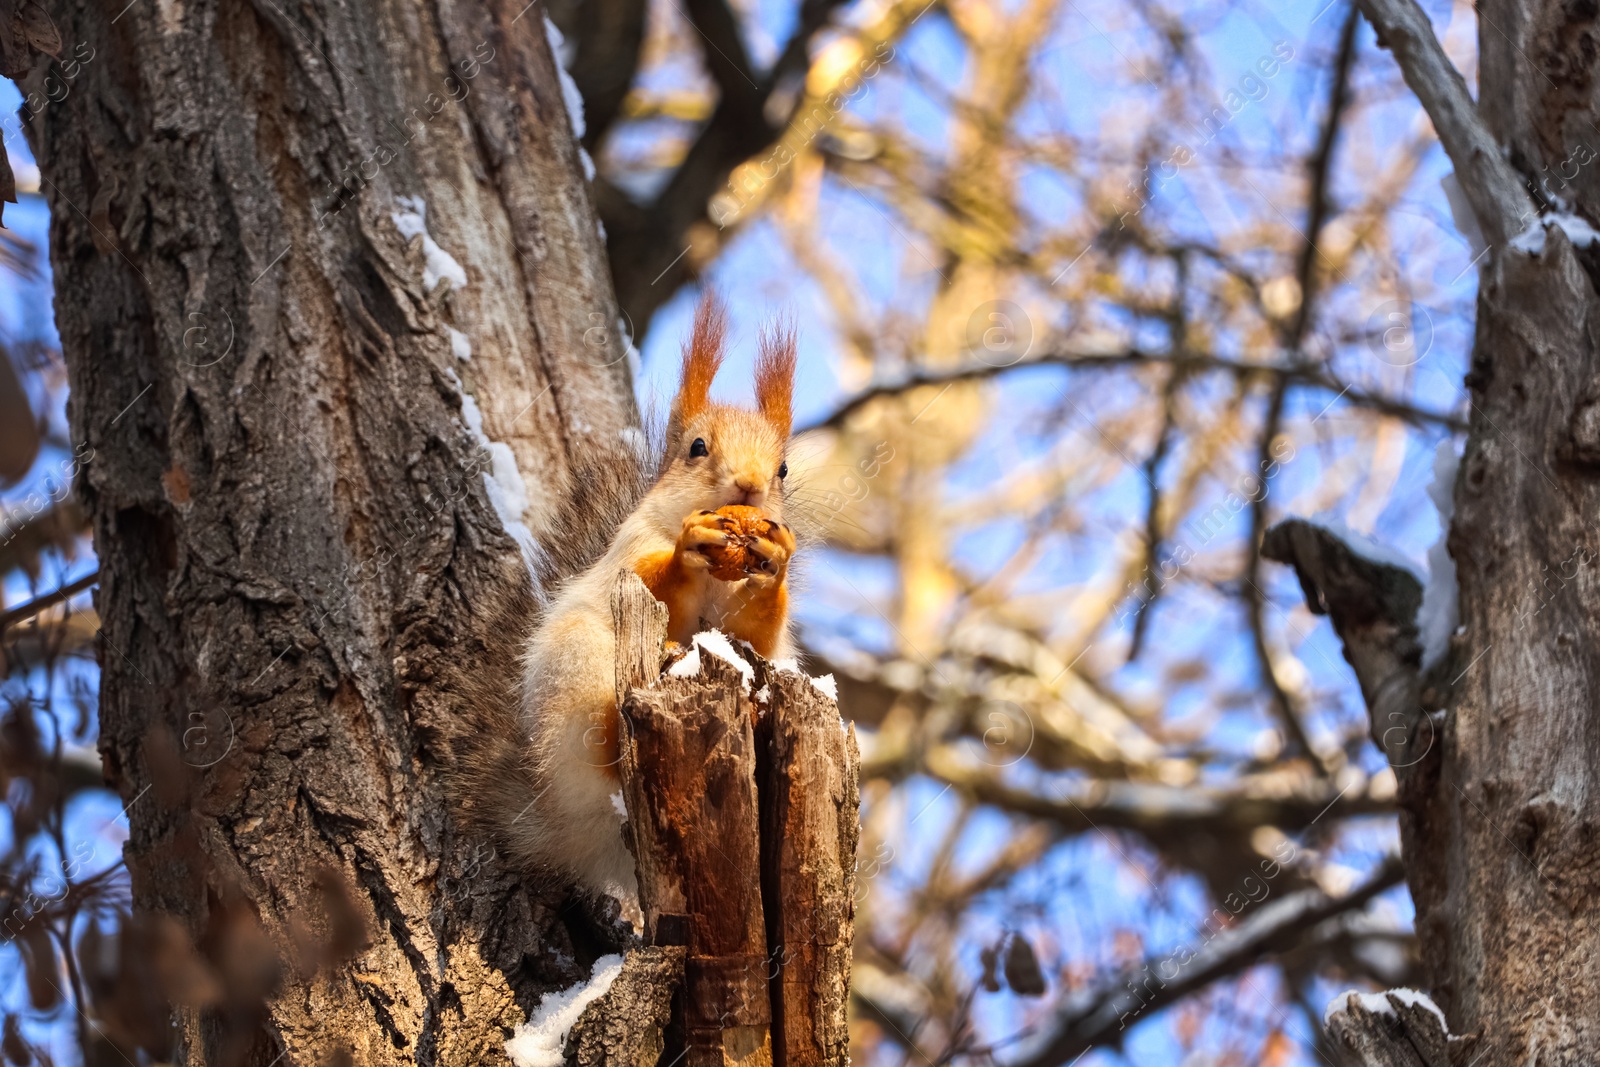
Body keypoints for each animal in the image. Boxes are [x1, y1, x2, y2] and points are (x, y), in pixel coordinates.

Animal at [451, 295, 800, 908]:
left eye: (782, 469)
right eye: (696, 448)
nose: (749, 486)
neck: (719, 576)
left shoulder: (755, 627)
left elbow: (755, 631)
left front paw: (774, 563)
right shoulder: (629, 550)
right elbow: (648, 578)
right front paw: (685, 551)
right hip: (579, 671)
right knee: (599, 748)